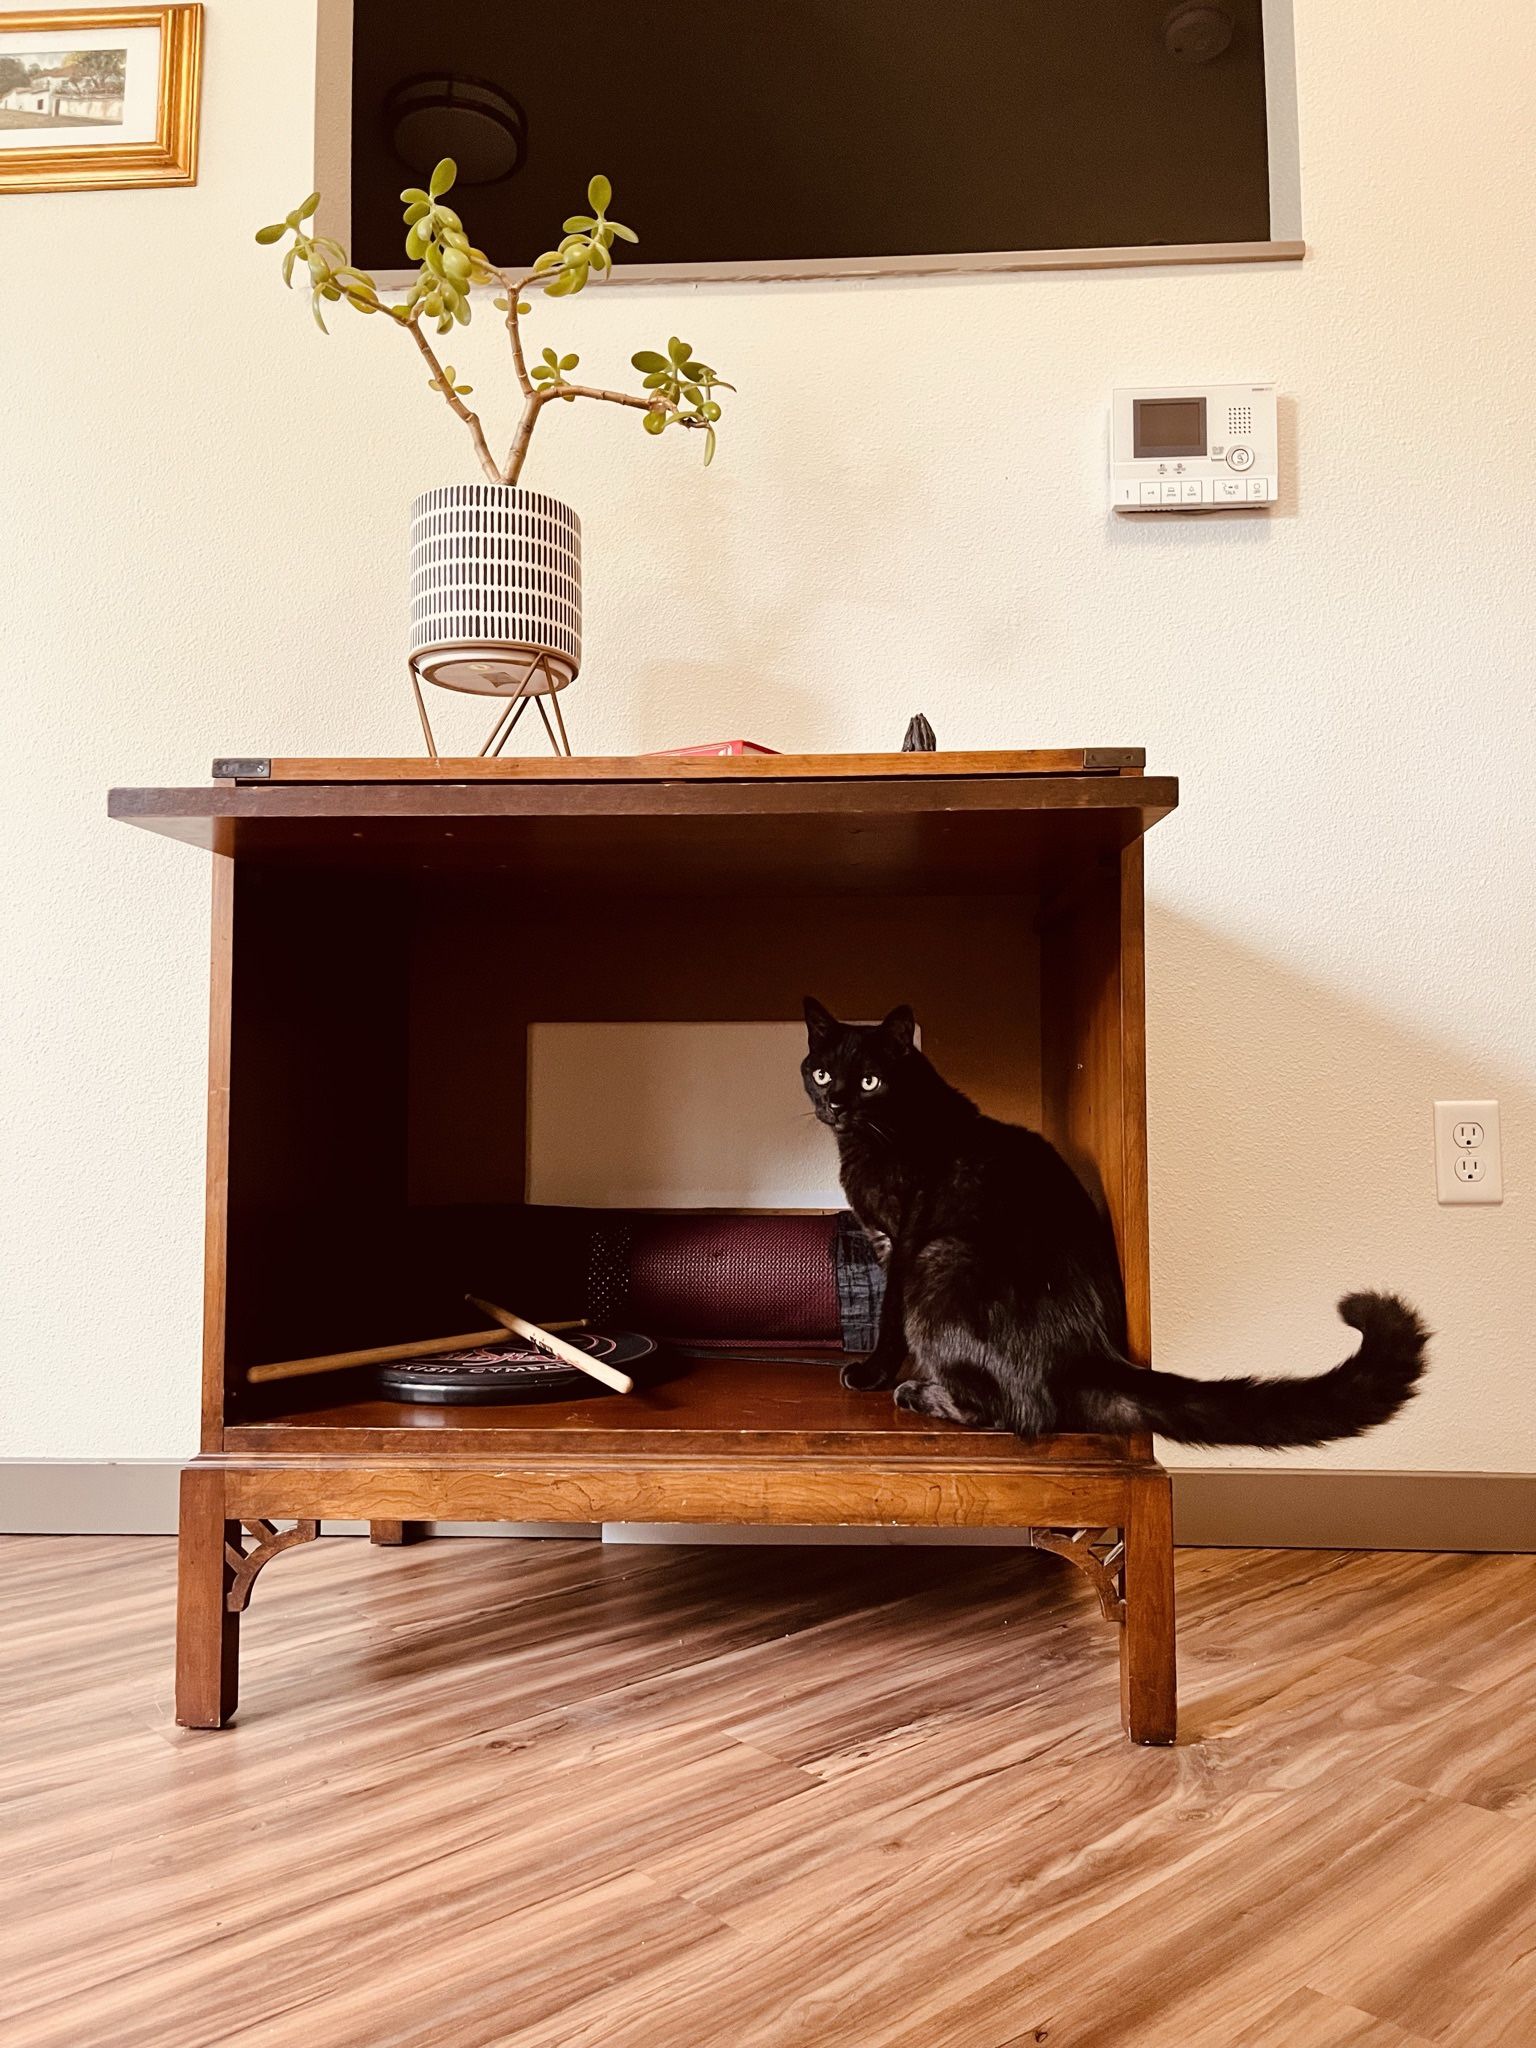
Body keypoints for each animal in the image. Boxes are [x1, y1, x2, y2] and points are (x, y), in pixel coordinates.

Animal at [806, 999, 1433, 1449]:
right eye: (822, 1073)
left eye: (869, 1081)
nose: (835, 1103)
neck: (881, 1132)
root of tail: (1091, 1351)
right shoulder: (885, 1241)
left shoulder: (904, 1243)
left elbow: (888, 1320)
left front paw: (873, 1374)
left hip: (940, 1260)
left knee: (1020, 1412)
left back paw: (919, 1392)